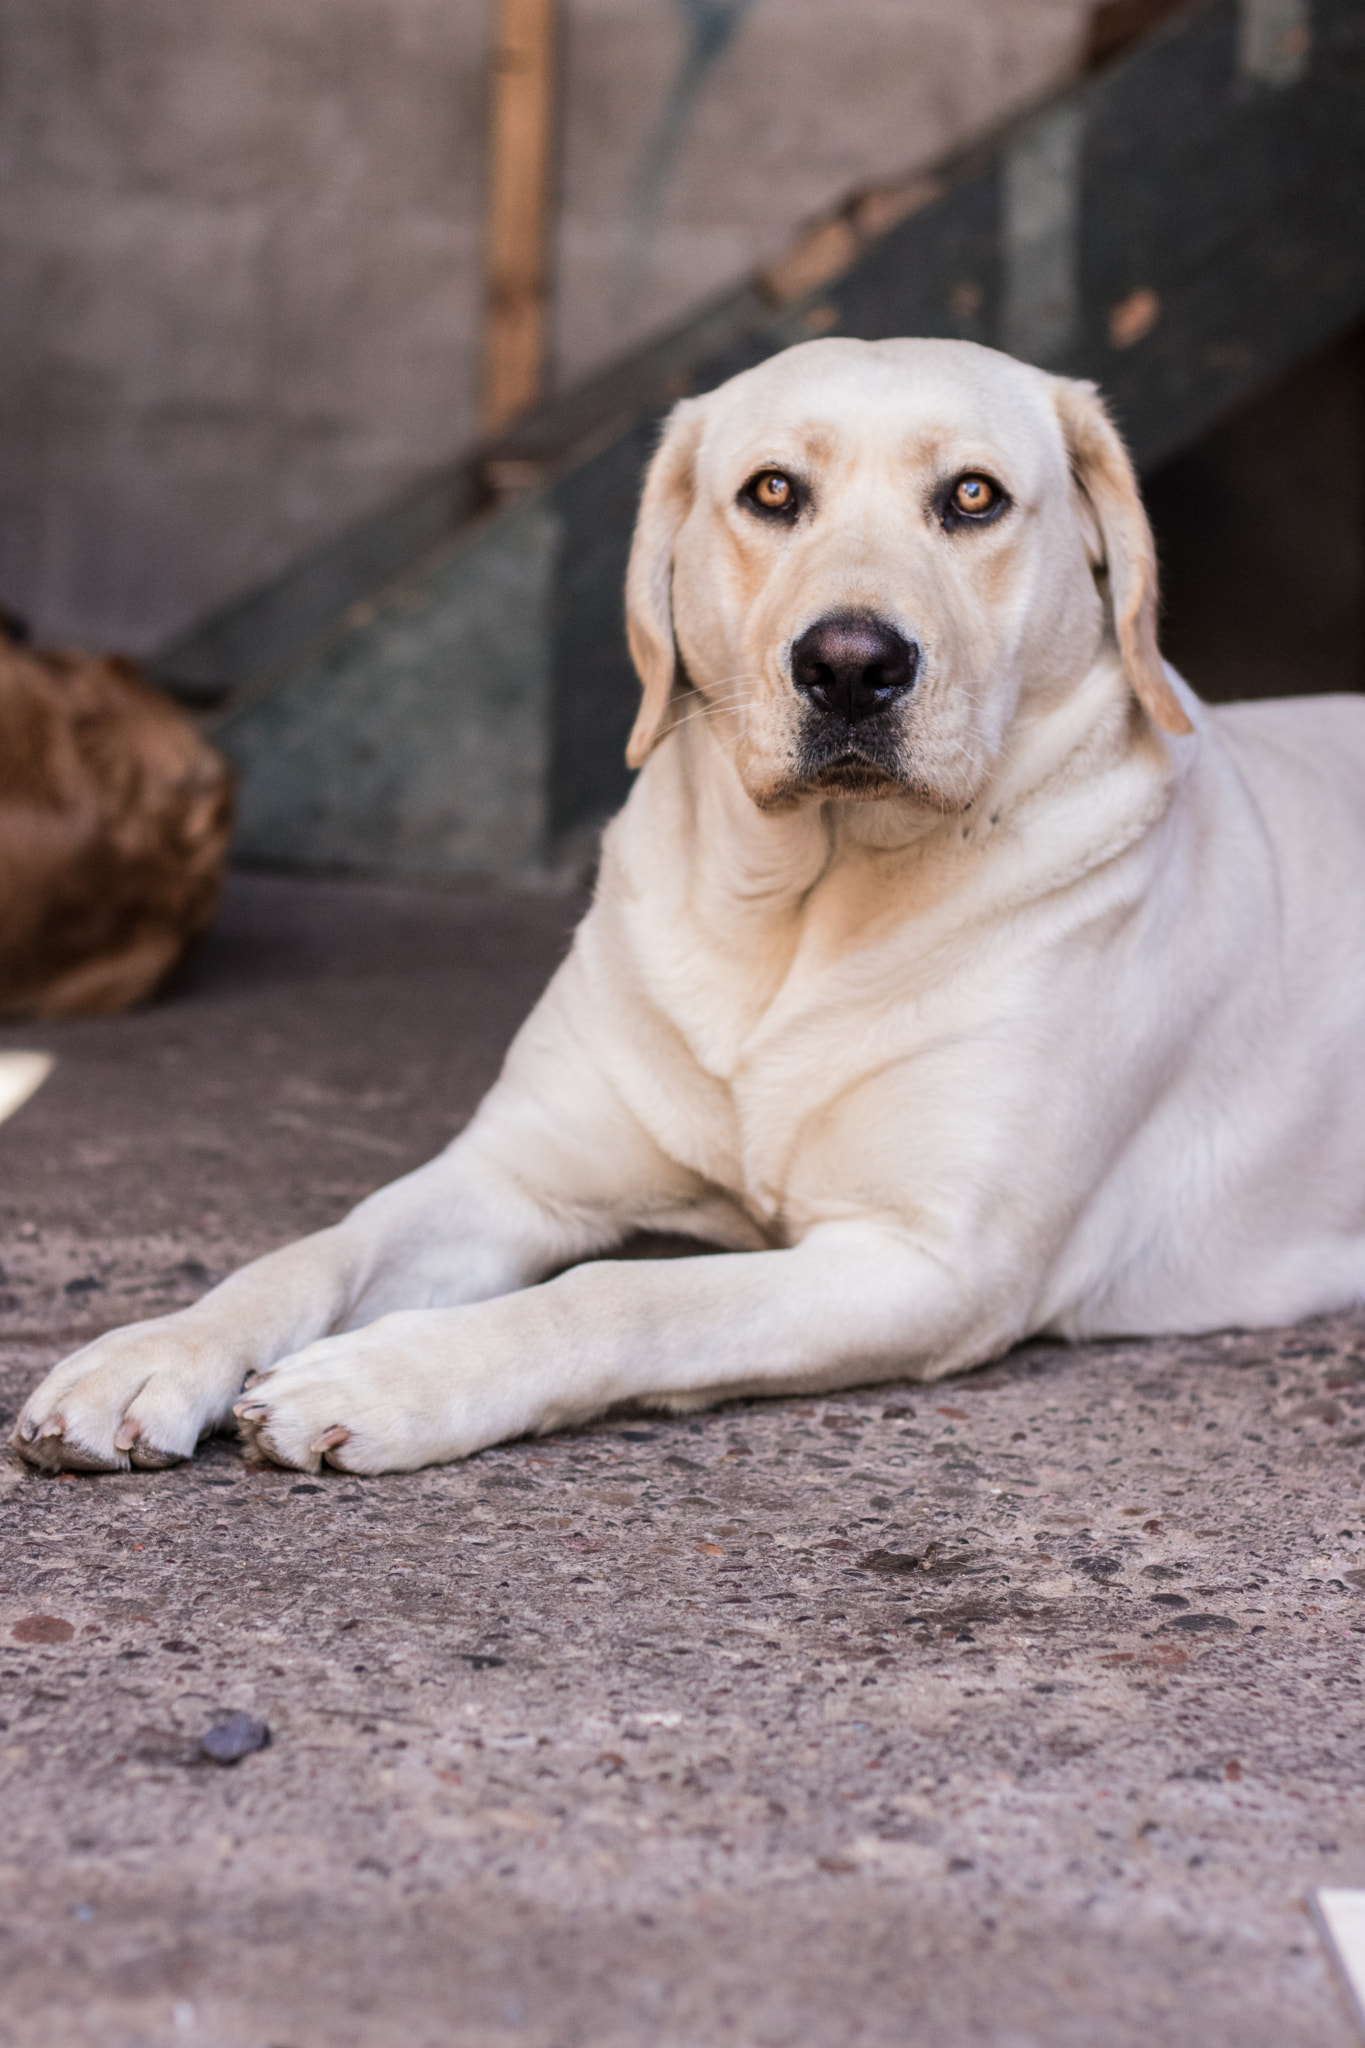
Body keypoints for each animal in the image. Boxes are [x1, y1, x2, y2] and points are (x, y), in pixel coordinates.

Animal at [10, 344, 1365, 1482]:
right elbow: (313, 1248)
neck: (802, 915)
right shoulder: (512, 1174)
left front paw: (394, 1373)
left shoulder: (933, 1263)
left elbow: (625, 1294)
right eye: (771, 492)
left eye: (975, 497)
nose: (852, 664)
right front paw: (156, 1349)